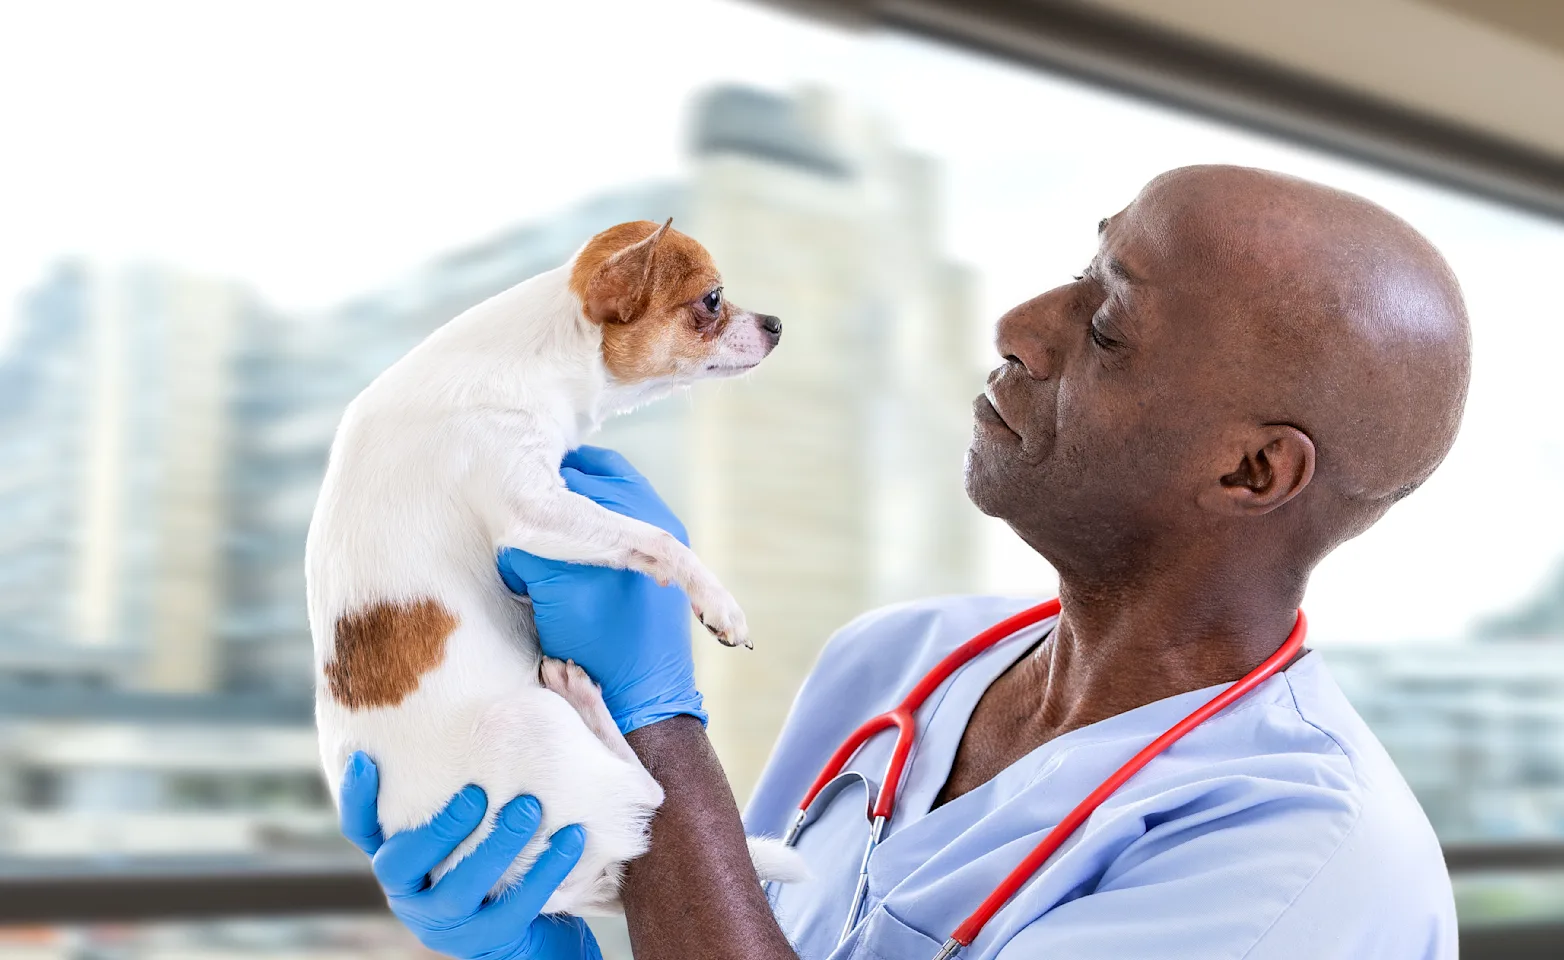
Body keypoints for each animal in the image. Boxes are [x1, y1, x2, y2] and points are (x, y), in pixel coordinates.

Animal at [304, 222, 800, 913]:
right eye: (712, 300)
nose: (777, 323)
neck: (537, 355)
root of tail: (556, 886)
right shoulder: (534, 509)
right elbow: (657, 539)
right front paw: (717, 600)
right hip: (531, 725)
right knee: (651, 793)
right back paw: (583, 695)